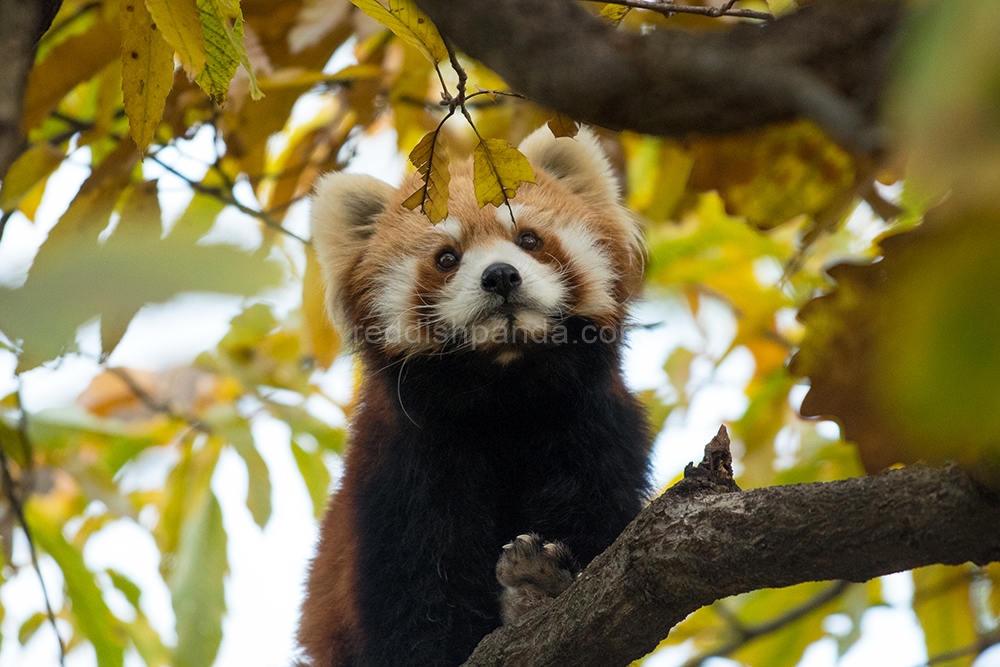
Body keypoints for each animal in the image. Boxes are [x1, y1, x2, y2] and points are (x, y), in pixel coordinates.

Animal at [296, 126, 652, 667]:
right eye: (447, 258)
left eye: (529, 239)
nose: (501, 275)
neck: (503, 392)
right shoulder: (403, 476)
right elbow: (418, 597)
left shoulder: (595, 433)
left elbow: (594, 529)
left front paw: (543, 584)